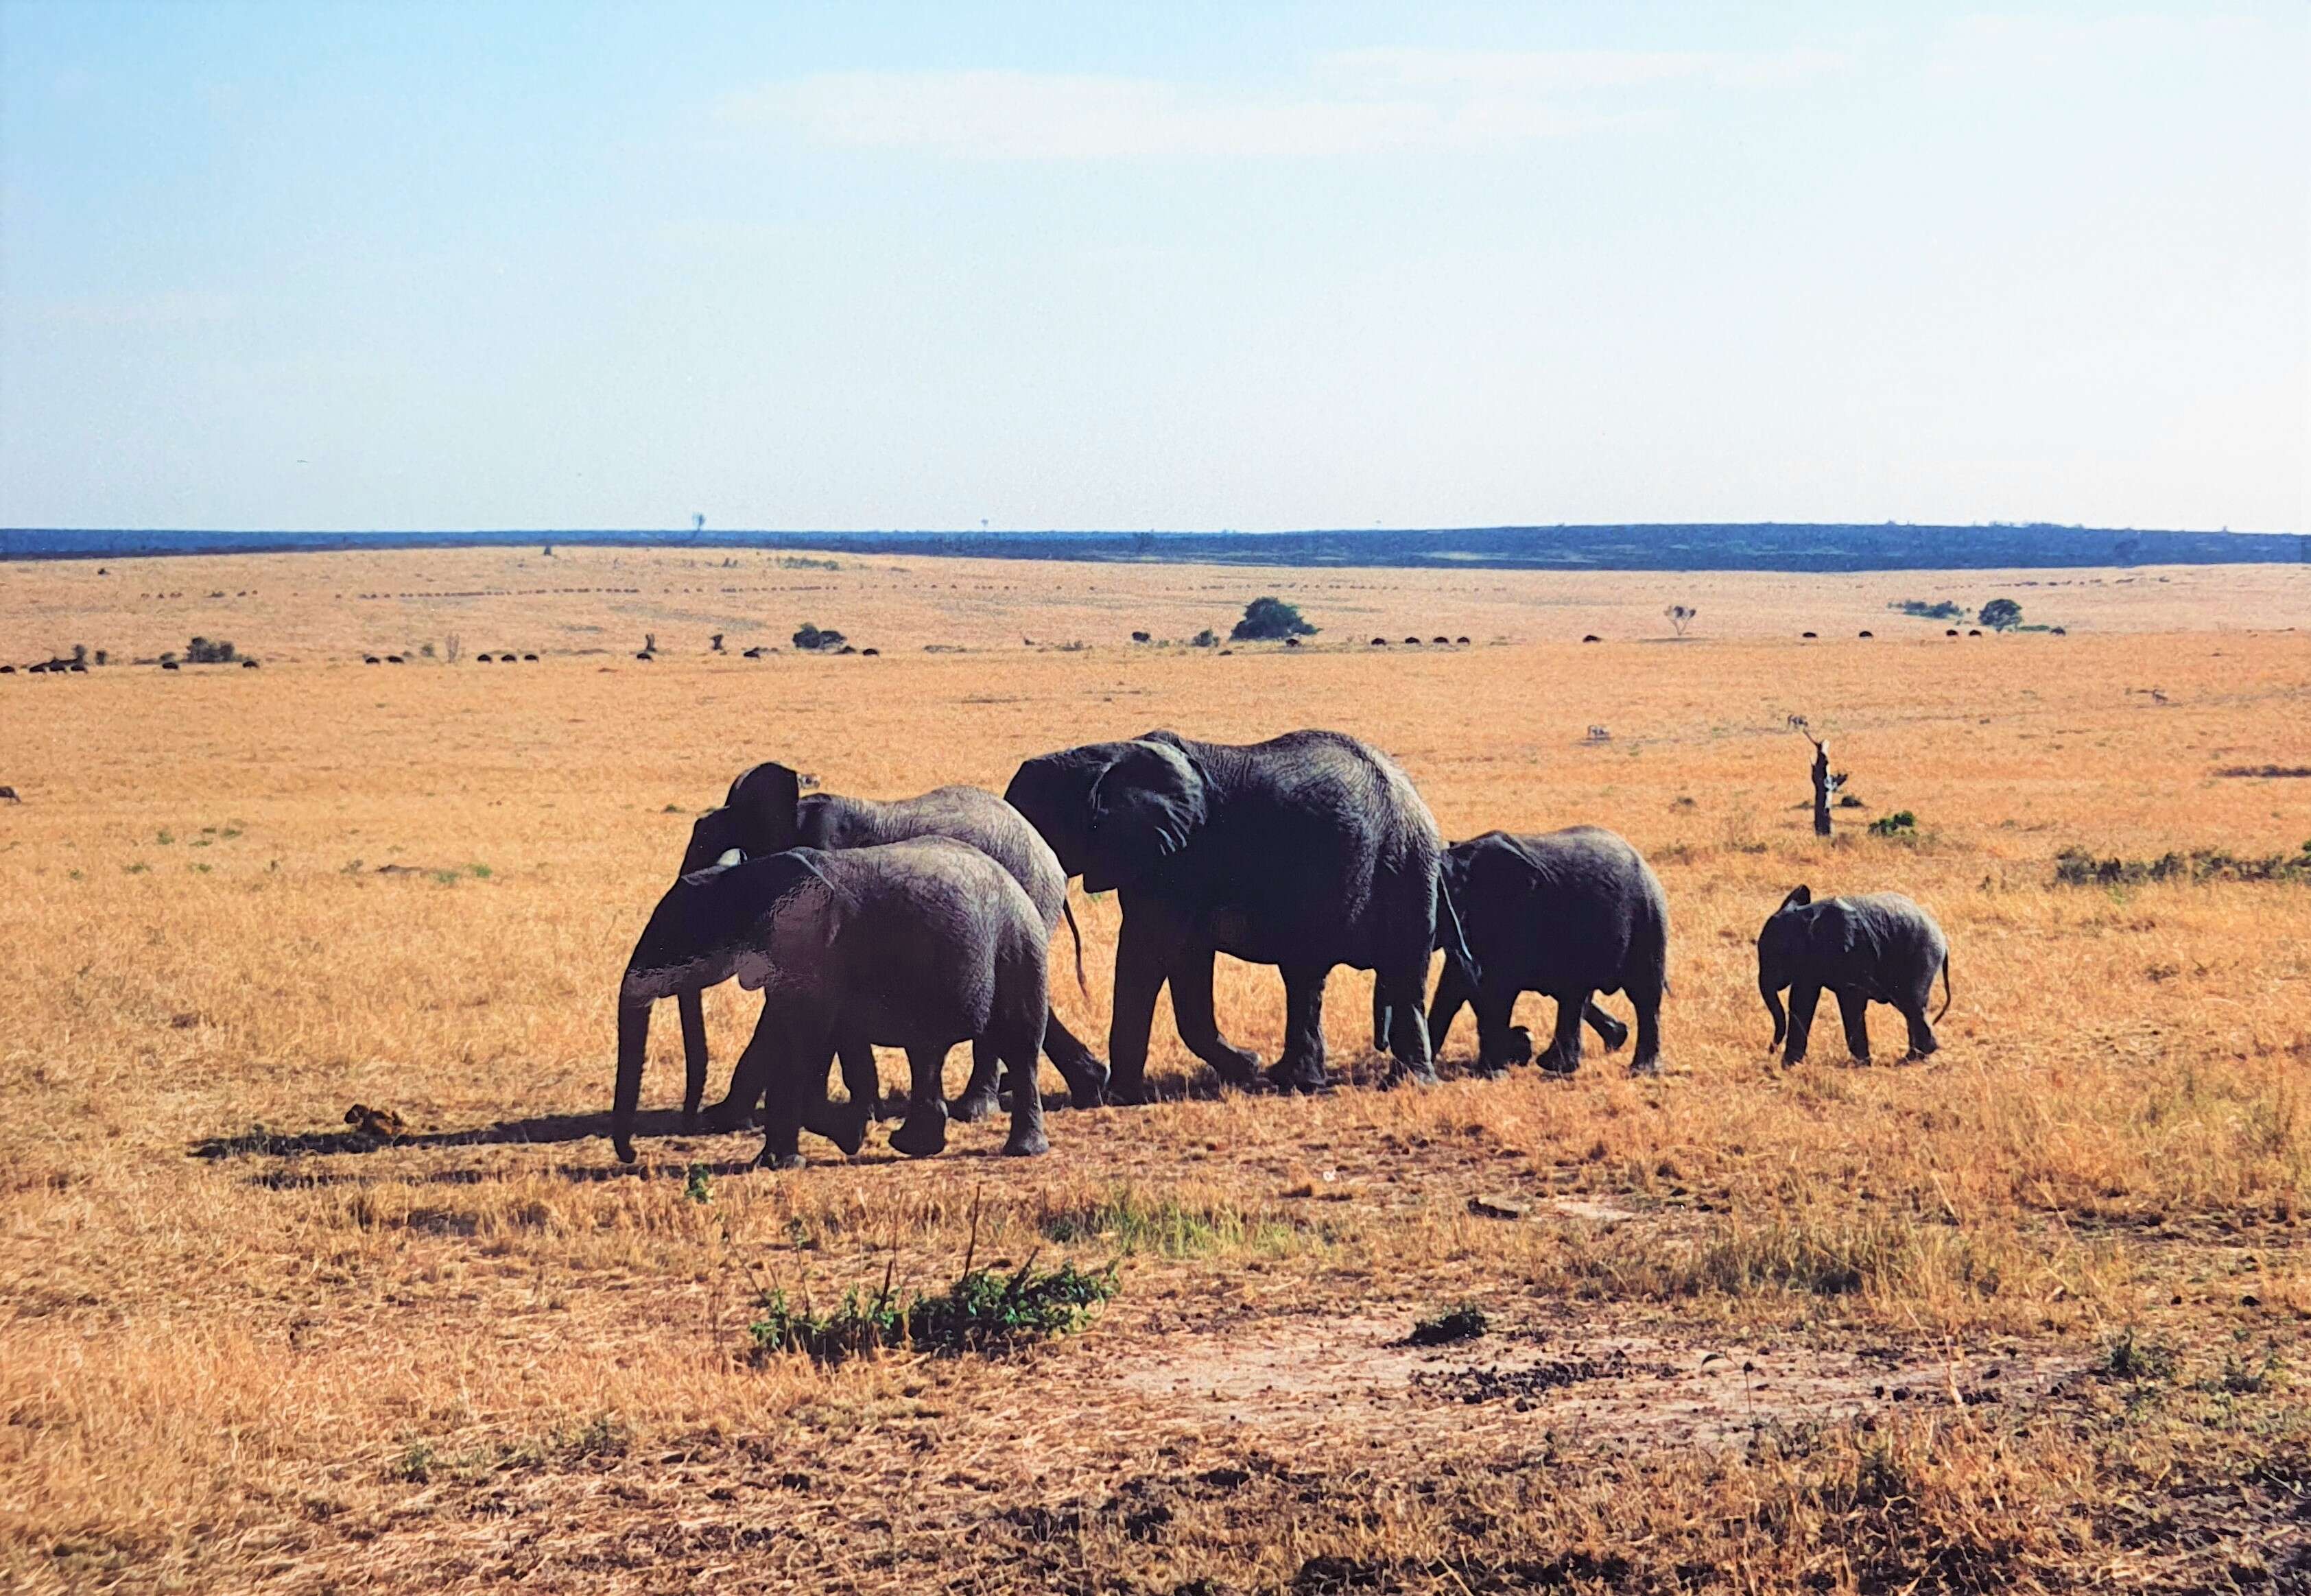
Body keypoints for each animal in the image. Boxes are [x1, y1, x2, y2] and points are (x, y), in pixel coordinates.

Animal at [610, 840, 1054, 1168]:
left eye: (675, 942)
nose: (633, 1156)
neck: (750, 878)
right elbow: (800, 1034)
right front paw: (845, 1135)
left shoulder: (817, 949)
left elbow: (801, 1039)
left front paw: (788, 1159)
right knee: (926, 1051)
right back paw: (913, 1145)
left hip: (1018, 946)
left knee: (1019, 1047)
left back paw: (1022, 1150)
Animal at [670, 757, 1109, 1122]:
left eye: (709, 852)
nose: (691, 1115)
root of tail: (1050, 857)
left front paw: (727, 1120)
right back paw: (1091, 1088)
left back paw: (974, 1110)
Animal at [1003, 734, 1469, 1099]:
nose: (1095, 1080)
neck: (1103, 755)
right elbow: (1185, 960)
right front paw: (1248, 1067)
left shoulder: (1178, 858)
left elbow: (1148, 953)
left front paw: (1118, 1095)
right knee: (1306, 976)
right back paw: (1296, 1080)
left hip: (1409, 866)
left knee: (1402, 972)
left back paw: (1407, 1084)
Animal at [1423, 831, 1663, 1081]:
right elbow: (1455, 985)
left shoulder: (1512, 916)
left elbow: (1496, 987)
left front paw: (1492, 1070)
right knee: (1575, 991)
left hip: (1648, 919)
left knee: (1644, 994)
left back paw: (1640, 1069)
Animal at [1756, 891, 1959, 1067]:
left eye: (1779, 956)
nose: (1770, 1050)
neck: (1808, 919)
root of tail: (1943, 941)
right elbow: (1803, 1000)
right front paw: (1790, 1065)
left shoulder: (1852, 954)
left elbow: (1850, 1001)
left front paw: (1862, 1064)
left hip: (1921, 959)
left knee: (1912, 1005)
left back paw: (1913, 1058)